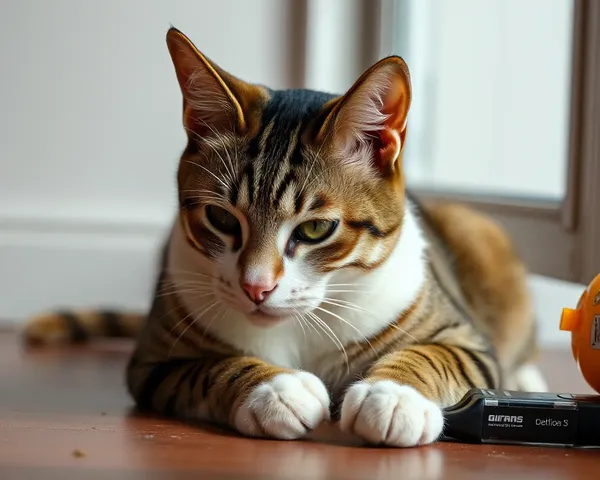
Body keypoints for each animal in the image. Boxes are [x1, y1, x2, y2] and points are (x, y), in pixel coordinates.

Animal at [22, 25, 548, 446]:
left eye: (315, 228)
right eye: (222, 219)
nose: (256, 287)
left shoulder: (465, 335)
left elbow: (439, 355)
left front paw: (393, 396)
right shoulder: (154, 361)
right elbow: (209, 367)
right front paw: (275, 389)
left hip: (479, 232)